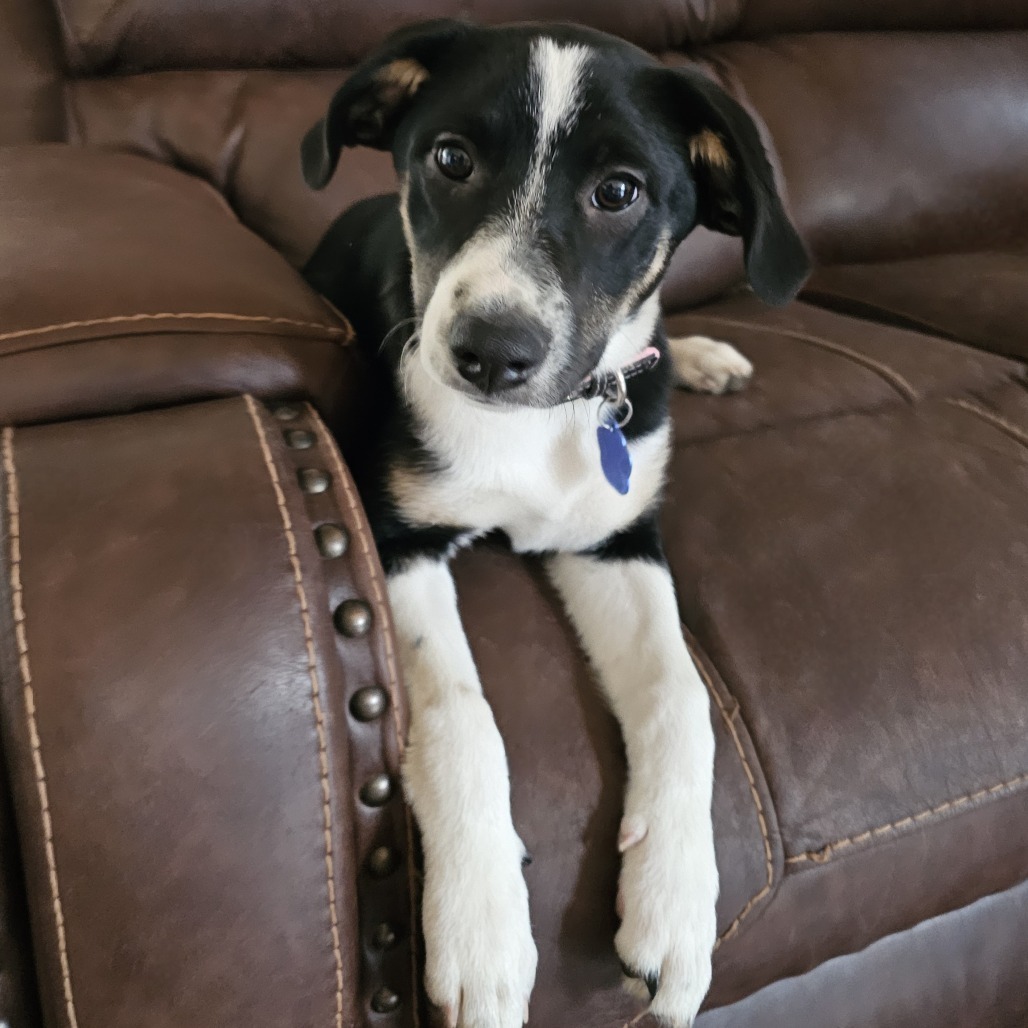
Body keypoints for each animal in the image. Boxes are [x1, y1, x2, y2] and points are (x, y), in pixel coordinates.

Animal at [300, 18, 805, 1028]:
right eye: (450, 158)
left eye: (619, 192)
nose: (491, 353)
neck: (542, 425)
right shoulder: (395, 537)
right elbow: (459, 711)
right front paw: (482, 932)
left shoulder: (613, 542)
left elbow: (682, 695)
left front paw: (677, 909)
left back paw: (700, 355)